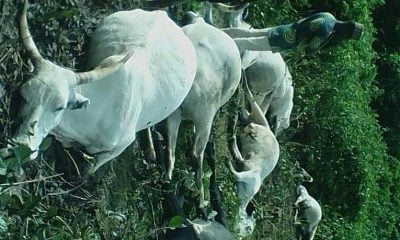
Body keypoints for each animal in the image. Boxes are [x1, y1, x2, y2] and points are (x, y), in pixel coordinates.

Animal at [13, 0, 197, 172]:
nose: (22, 146)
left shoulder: (119, 147)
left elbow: (89, 169)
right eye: (23, 94)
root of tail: (163, 15)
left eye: (59, 107)